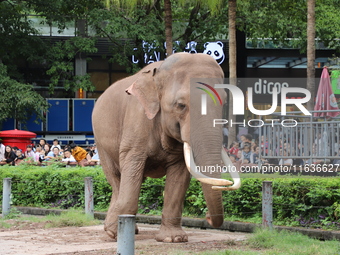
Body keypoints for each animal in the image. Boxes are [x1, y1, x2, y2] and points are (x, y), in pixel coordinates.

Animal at [91, 52, 240, 243]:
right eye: (180, 105)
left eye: (224, 103)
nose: (207, 217)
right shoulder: (136, 121)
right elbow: (132, 167)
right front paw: (117, 236)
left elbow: (179, 177)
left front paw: (173, 239)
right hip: (100, 142)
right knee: (116, 178)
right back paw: (112, 232)